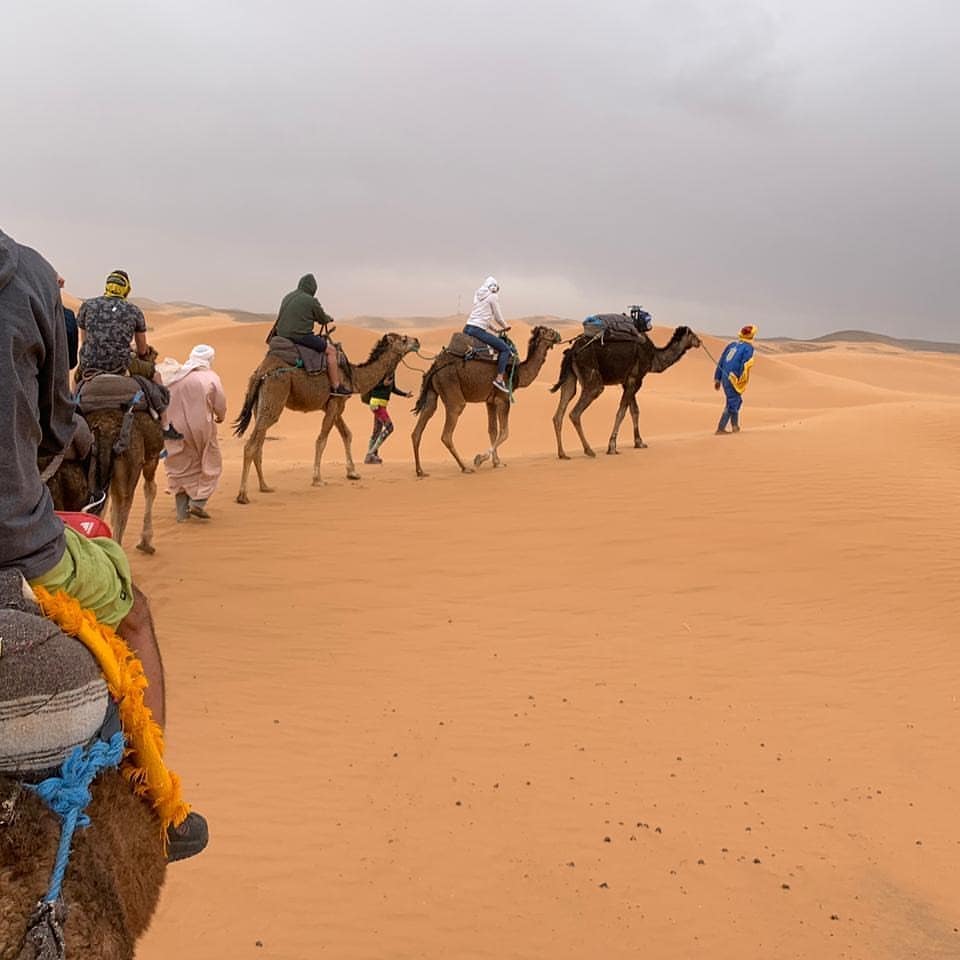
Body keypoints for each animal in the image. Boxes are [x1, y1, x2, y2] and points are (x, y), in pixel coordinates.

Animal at [233, 332, 420, 502]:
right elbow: (322, 440)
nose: (417, 341)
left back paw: (265, 486)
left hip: (260, 404)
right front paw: (317, 479)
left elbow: (347, 434)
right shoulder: (335, 402)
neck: (353, 376)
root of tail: (260, 373)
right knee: (251, 445)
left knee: (259, 444)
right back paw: (243, 495)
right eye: (404, 339)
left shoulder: (335, 405)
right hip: (275, 394)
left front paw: (352, 472)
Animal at [410, 324, 564, 478]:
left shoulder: (490, 401)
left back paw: (420, 471)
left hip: (433, 391)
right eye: (550, 332)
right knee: (447, 433)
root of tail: (435, 366)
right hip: (451, 388)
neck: (519, 372)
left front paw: (497, 462)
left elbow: (493, 430)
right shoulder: (503, 399)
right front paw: (480, 459)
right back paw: (465, 467)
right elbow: (504, 432)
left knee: (420, 426)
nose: (559, 336)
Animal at [552, 326, 700, 458]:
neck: (654, 357)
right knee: (576, 411)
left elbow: (634, 411)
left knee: (562, 407)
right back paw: (589, 450)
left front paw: (639, 443)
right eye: (692, 334)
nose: (699, 342)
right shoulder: (635, 379)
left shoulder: (627, 382)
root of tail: (572, 351)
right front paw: (612, 447)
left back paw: (562, 454)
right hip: (591, 374)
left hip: (570, 376)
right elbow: (622, 412)